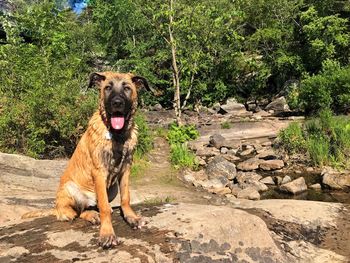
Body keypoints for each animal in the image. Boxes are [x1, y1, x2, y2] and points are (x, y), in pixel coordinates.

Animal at [21, 72, 148, 250]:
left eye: (127, 88)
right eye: (108, 88)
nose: (117, 103)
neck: (117, 135)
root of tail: (56, 209)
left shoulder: (126, 169)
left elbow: (126, 198)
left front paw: (132, 218)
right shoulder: (99, 172)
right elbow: (104, 207)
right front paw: (107, 233)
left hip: (112, 188)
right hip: (70, 188)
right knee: (78, 212)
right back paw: (91, 215)